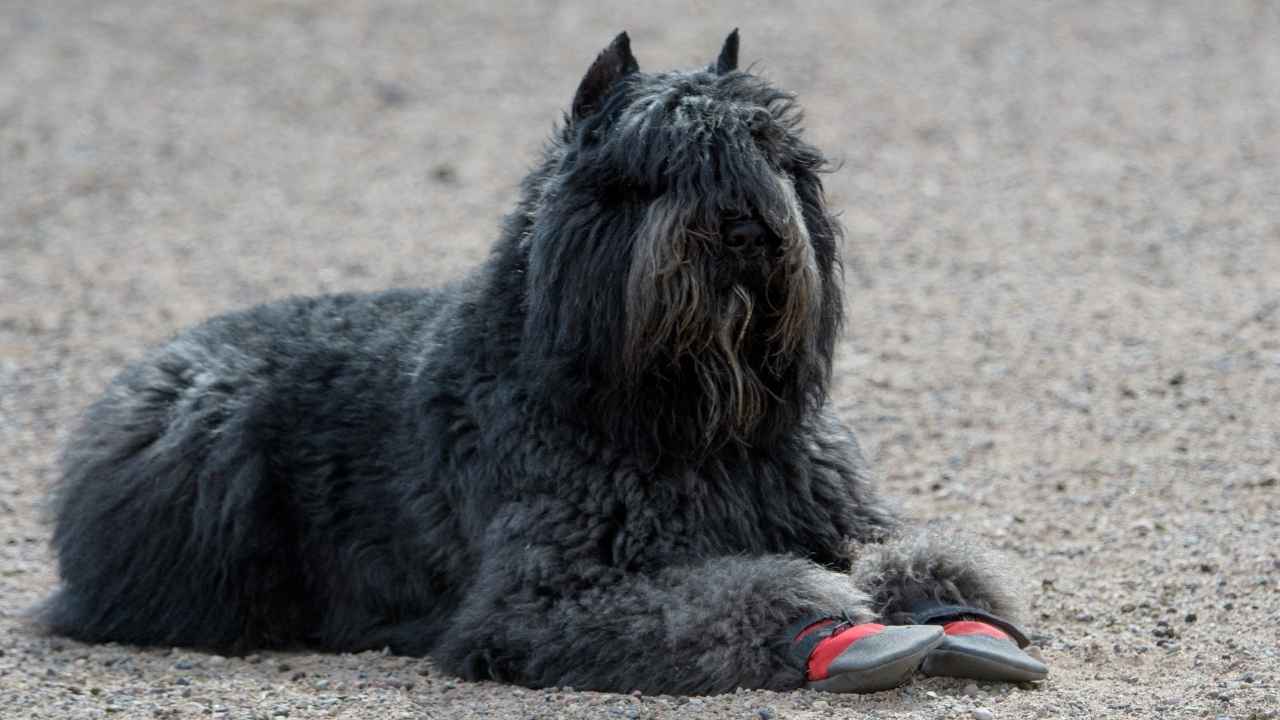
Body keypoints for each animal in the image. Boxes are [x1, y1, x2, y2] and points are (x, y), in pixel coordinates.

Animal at [40, 30, 1044, 691]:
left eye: (780, 153)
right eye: (658, 164)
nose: (747, 228)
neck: (688, 423)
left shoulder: (833, 505)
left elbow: (916, 551)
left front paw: (946, 601)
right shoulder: (548, 599)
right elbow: (725, 595)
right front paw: (824, 615)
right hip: (204, 436)